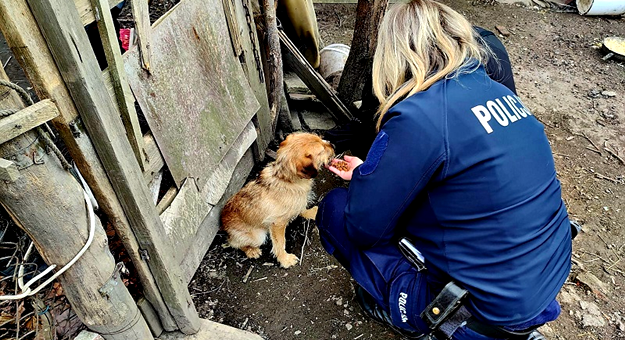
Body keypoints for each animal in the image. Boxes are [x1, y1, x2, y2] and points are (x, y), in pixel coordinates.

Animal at [221, 133, 334, 268]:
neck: (285, 179)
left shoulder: (297, 203)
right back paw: (251, 251)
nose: (333, 145)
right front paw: (285, 259)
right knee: (234, 243)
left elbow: (301, 208)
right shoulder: (277, 224)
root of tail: (222, 223)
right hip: (257, 236)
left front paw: (312, 212)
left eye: (321, 139)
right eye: (321, 151)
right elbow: (280, 243)